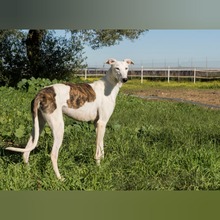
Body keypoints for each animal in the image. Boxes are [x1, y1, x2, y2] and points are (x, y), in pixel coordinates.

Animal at [6, 58, 134, 180]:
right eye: (117, 68)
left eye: (126, 68)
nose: (125, 79)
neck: (108, 86)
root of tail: (41, 93)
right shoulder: (101, 123)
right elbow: (98, 151)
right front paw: (98, 169)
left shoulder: (98, 125)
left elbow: (101, 147)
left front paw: (102, 165)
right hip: (58, 128)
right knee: (53, 154)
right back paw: (60, 178)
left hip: (38, 125)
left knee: (26, 151)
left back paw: (29, 171)